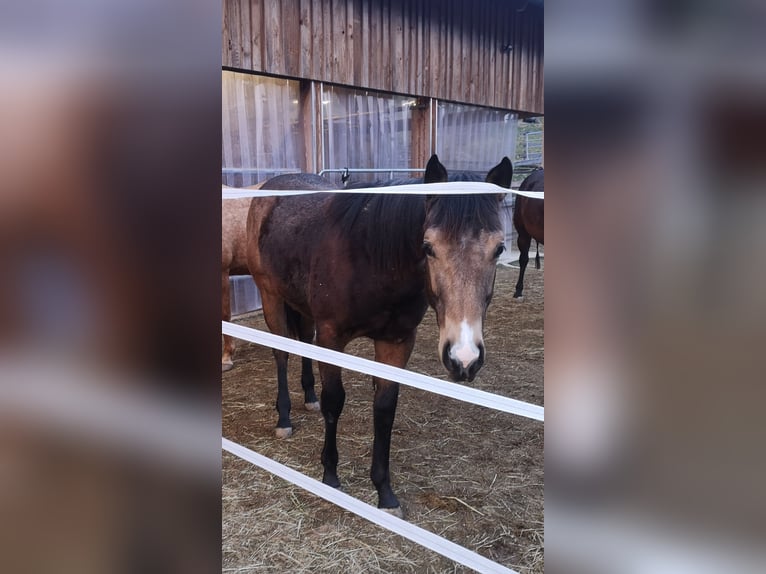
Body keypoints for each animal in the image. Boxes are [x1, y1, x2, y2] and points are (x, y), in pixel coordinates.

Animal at [246, 155, 512, 515]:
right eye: (428, 247)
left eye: (499, 248)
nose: (464, 357)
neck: (371, 259)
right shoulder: (331, 337)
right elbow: (335, 401)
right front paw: (330, 476)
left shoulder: (396, 341)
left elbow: (385, 409)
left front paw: (385, 493)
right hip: (271, 297)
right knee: (281, 354)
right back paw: (284, 418)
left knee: (301, 344)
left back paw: (309, 397)